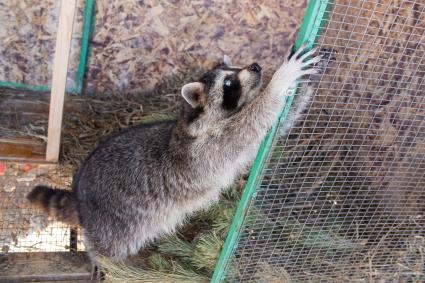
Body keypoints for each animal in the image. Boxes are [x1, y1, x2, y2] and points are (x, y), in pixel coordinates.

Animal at [27, 44, 322, 268]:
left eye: (236, 67)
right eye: (229, 82)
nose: (256, 67)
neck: (200, 118)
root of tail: (80, 200)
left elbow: (271, 132)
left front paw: (303, 87)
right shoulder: (202, 151)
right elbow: (245, 128)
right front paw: (280, 81)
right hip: (112, 222)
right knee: (107, 248)